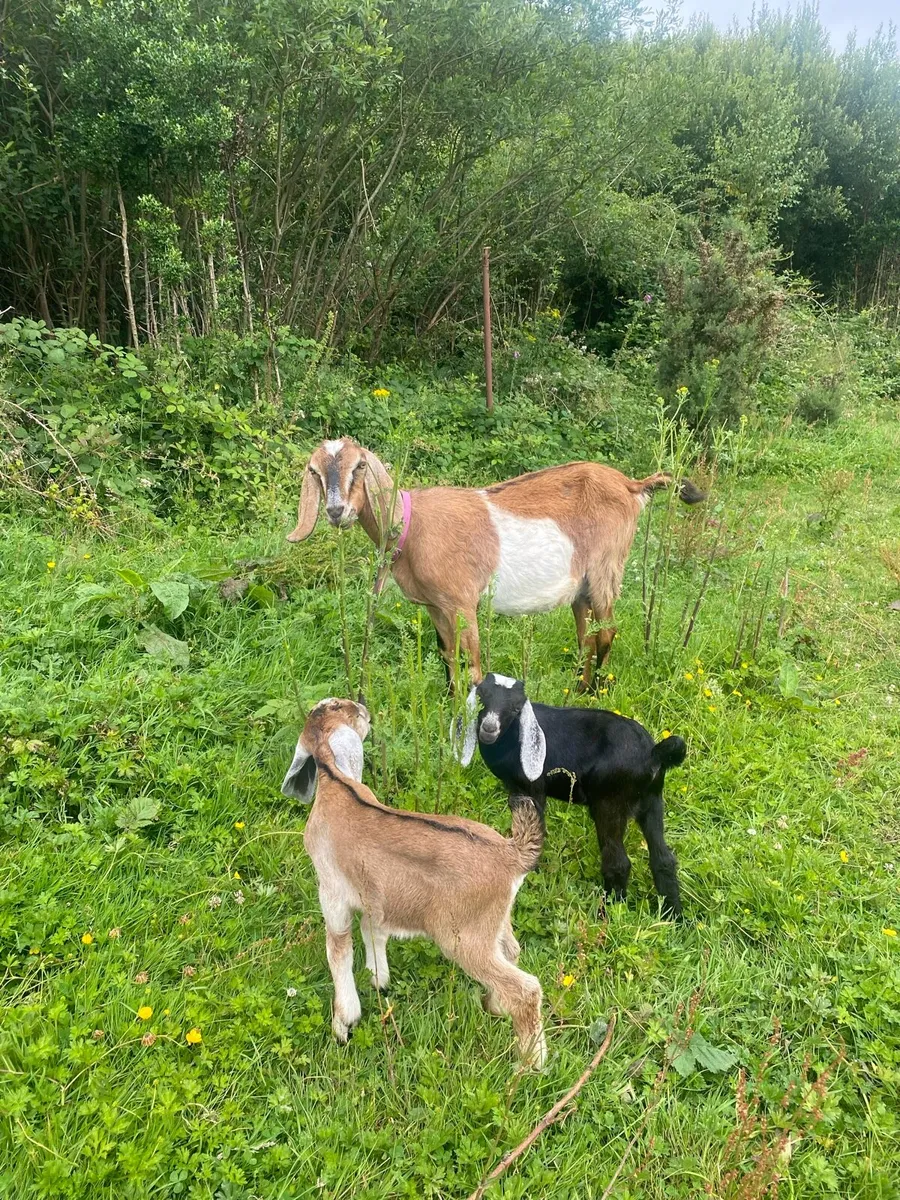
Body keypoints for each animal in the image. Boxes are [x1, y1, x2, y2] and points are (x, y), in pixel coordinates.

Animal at [282, 696, 547, 1065]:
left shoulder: (332, 892)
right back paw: (494, 1006)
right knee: (511, 951)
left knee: (526, 989)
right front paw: (379, 979)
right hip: (494, 923)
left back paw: (531, 1064)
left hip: (462, 938)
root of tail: (511, 853)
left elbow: (338, 950)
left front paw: (343, 1022)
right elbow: (372, 929)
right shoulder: (374, 896)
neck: (338, 784)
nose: (365, 710)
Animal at [286, 438, 705, 690]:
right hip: (581, 584)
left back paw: (594, 691)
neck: (412, 524)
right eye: (316, 472)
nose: (336, 511)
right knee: (586, 634)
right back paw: (578, 685)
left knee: (607, 632)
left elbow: (472, 668)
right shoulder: (437, 606)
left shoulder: (462, 602)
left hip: (606, 567)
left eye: (358, 467)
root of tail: (631, 485)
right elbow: (449, 659)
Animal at [454, 673, 686, 918]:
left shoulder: (534, 789)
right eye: (482, 697)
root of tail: (653, 754)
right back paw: (674, 916)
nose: (489, 728)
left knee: (618, 863)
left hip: (610, 802)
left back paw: (608, 912)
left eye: (516, 708)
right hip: (652, 801)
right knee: (664, 859)